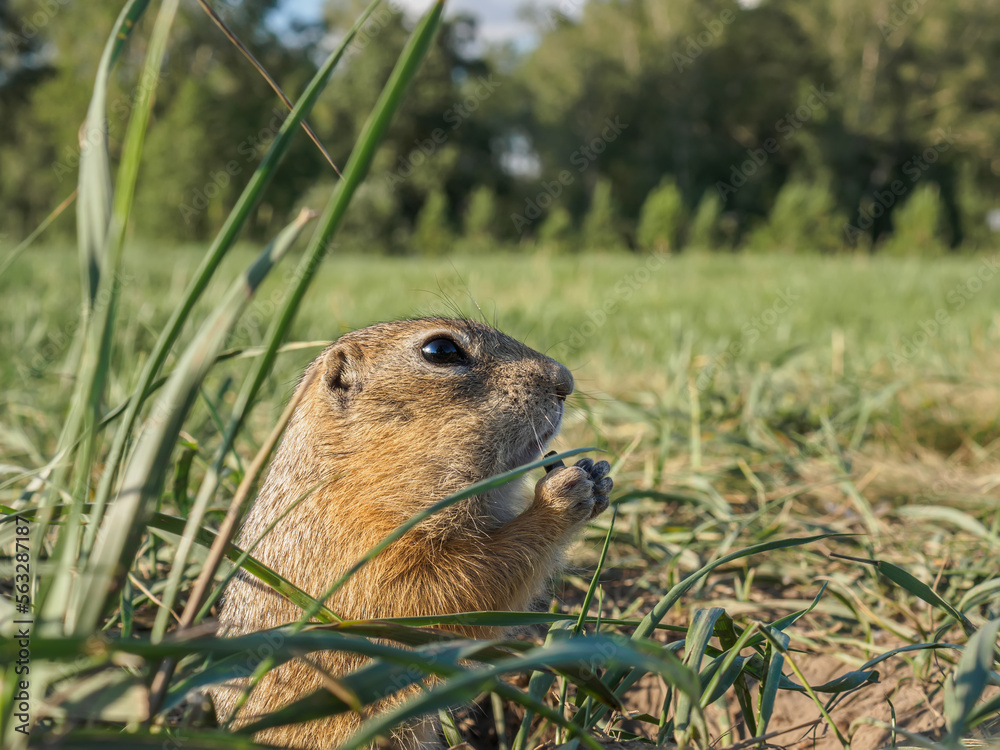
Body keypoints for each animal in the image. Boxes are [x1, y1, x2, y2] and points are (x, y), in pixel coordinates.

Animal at [215, 318, 612, 750]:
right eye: (441, 350)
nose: (565, 381)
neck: (354, 477)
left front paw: (597, 474)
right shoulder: (366, 557)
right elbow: (443, 592)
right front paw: (564, 493)